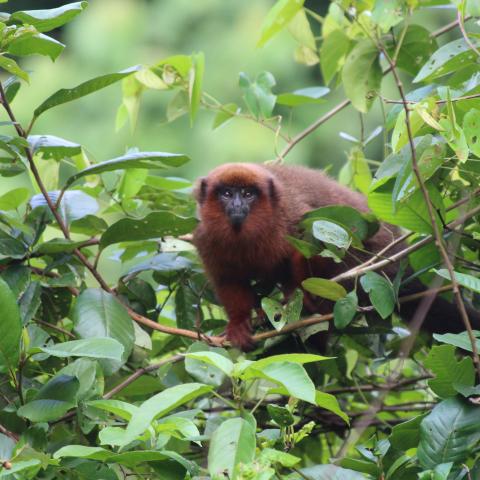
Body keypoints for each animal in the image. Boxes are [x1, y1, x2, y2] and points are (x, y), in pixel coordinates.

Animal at [193, 161, 478, 348]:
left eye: (248, 194)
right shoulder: (206, 239)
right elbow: (228, 280)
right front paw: (239, 323)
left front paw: (302, 295)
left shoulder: (292, 218)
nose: (237, 204)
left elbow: (313, 244)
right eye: (227, 193)